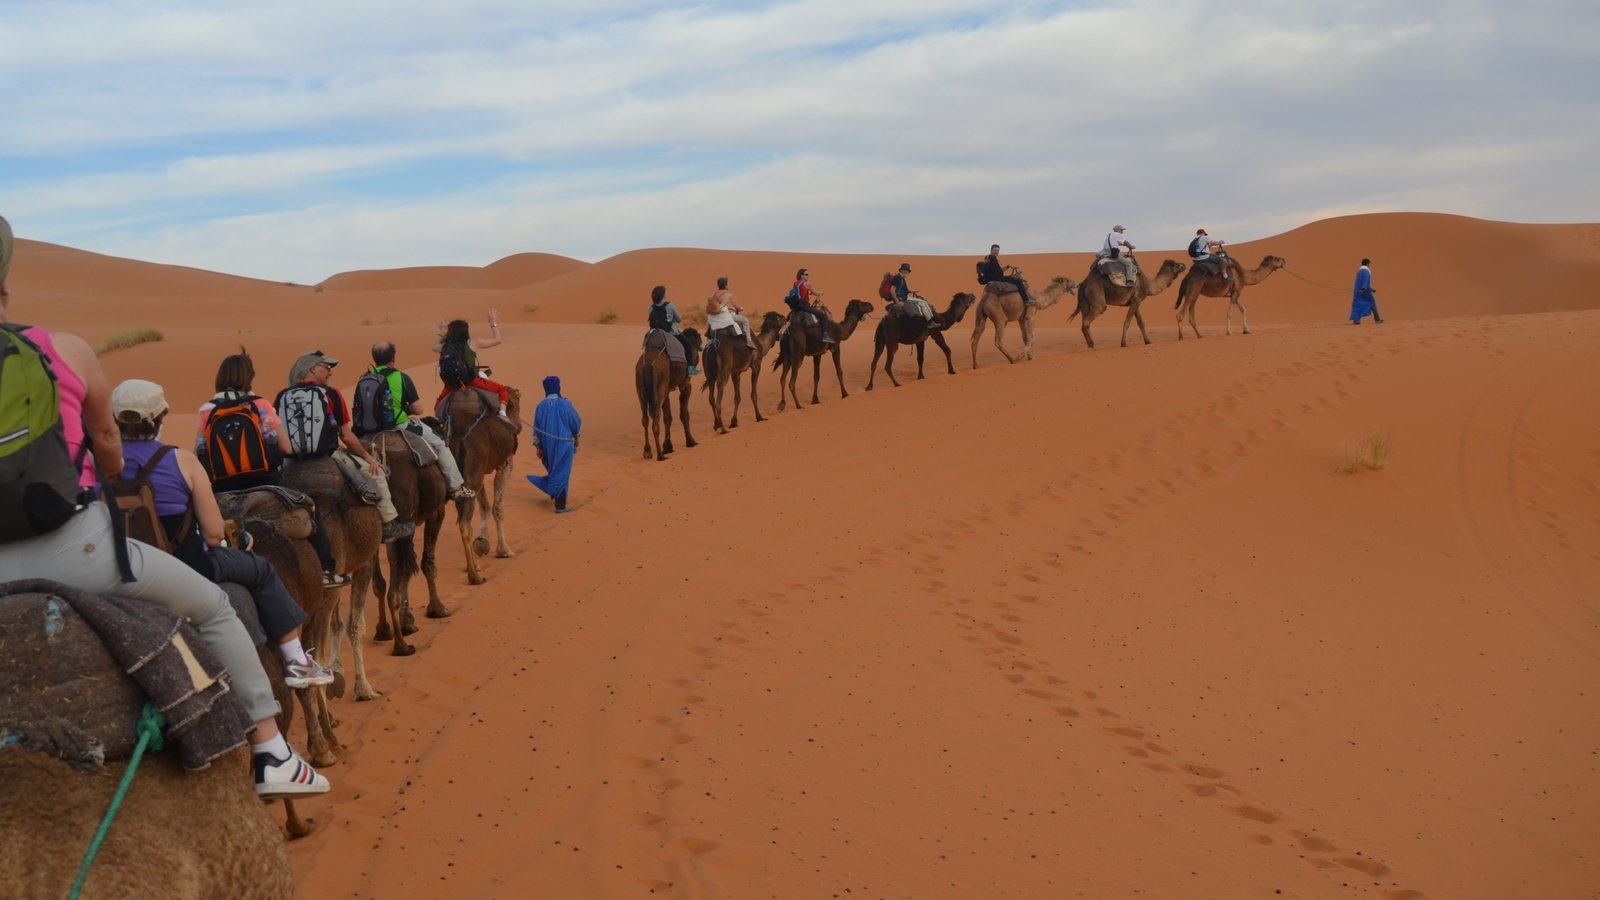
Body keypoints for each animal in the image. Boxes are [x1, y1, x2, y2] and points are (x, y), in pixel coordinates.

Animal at [368, 425, 451, 650]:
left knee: (380, 581)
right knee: (401, 571)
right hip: (405, 522)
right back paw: (401, 641)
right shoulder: (437, 513)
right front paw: (436, 609)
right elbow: (427, 563)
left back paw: (383, 630)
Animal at [441, 384, 521, 582]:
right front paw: (504, 550)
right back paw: (474, 576)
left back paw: (474, 566)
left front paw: (483, 543)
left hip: (463, 476)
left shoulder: (481, 472)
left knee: (464, 518)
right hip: (474, 470)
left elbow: (484, 505)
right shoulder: (506, 463)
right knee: (464, 524)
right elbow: (497, 507)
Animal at [633, 325, 704, 458]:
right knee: (655, 420)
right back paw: (660, 455)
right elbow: (684, 414)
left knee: (645, 419)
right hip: (658, 389)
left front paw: (668, 447)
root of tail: (647, 365)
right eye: (698, 342)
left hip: (642, 389)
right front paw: (691, 441)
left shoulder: (666, 391)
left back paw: (648, 451)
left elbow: (668, 417)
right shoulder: (685, 384)